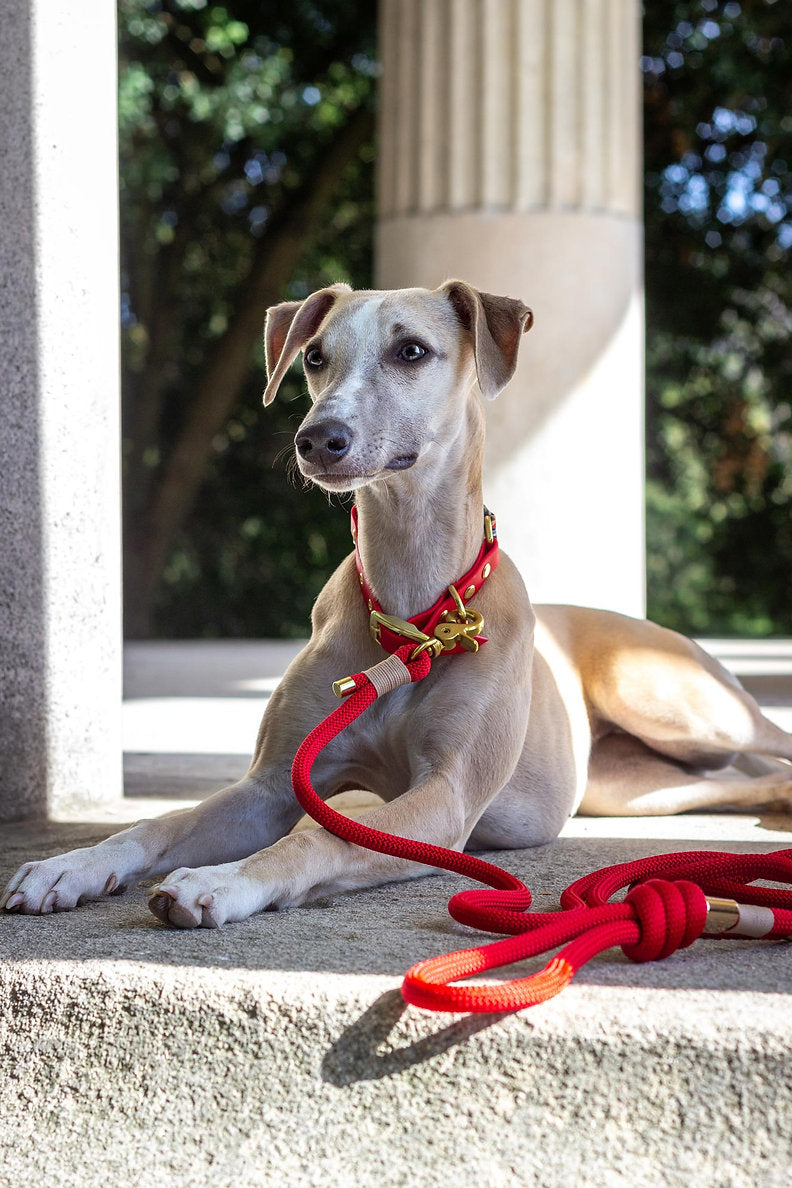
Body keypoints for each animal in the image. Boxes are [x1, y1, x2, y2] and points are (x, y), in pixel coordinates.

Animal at [1, 280, 792, 926]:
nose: (317, 438)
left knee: (769, 745)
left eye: (411, 350)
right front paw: (72, 866)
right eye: (314, 357)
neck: (413, 621)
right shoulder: (273, 784)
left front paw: (220, 882)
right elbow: (159, 824)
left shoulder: (444, 801)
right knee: (747, 782)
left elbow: (317, 840)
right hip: (635, 788)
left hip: (671, 701)